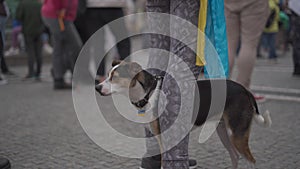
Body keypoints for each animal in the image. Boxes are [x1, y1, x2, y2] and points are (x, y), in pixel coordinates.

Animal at [96, 60, 272, 168]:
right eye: (108, 75)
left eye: (114, 78)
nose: (97, 87)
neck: (149, 93)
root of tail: (245, 91)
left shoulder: (164, 138)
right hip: (224, 132)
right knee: (235, 156)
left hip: (237, 134)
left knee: (251, 161)